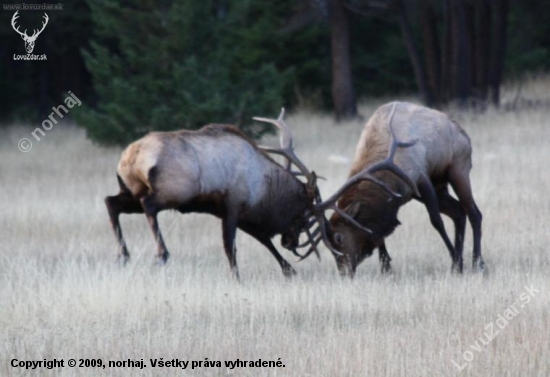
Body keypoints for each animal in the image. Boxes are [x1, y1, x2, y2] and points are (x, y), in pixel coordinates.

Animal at [314, 102, 488, 276]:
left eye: (339, 237)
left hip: (459, 169)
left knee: (474, 213)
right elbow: (378, 234)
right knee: (458, 212)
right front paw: (386, 268)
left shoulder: (421, 178)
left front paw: (455, 258)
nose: (344, 272)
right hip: (439, 186)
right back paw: (458, 264)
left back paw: (478, 263)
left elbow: (436, 221)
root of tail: (464, 134)